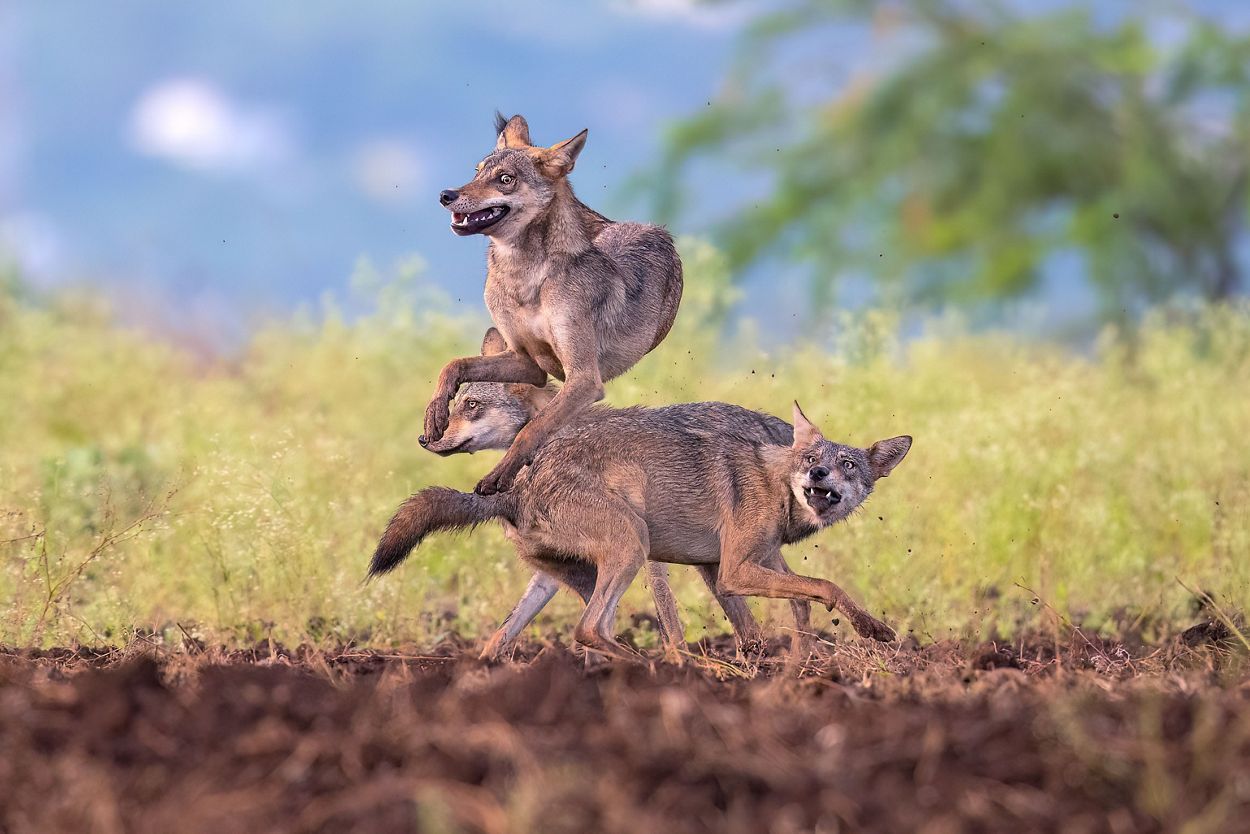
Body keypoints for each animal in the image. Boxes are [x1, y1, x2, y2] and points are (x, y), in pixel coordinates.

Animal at [370, 382, 910, 660]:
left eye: (848, 466)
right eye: (813, 460)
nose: (428, 438)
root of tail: (518, 492)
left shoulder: (723, 566)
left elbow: (808, 596)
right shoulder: (725, 568)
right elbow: (822, 587)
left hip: (619, 559)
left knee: (534, 635)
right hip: (634, 546)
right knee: (590, 628)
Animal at [420, 115, 685, 500]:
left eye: (505, 179)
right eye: (477, 171)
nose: (446, 195)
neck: (524, 282)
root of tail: (641, 225)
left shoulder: (584, 379)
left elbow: (534, 427)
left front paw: (500, 475)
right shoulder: (527, 362)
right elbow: (453, 364)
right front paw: (435, 413)